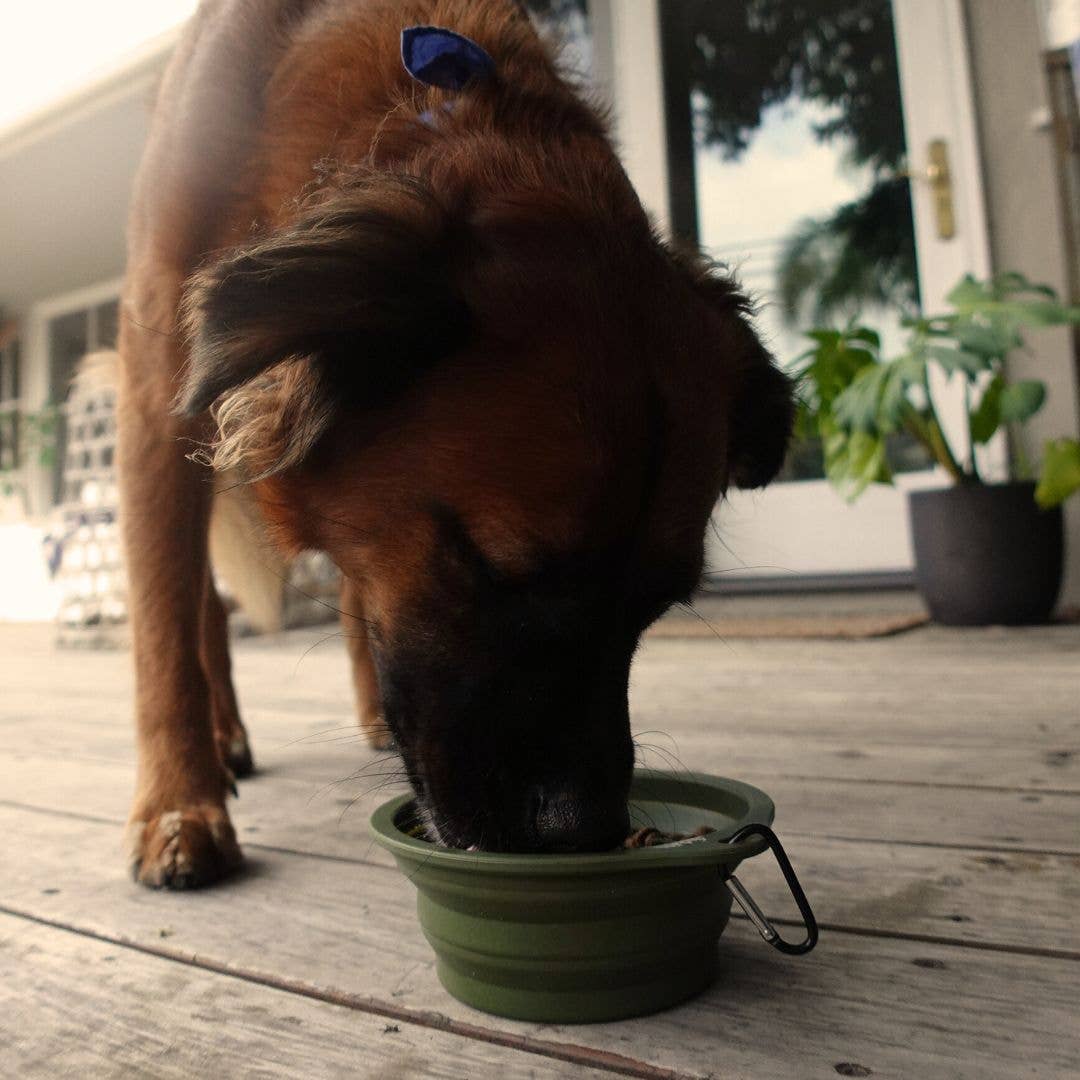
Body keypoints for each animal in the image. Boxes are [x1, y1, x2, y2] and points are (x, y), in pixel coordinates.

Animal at [118, 0, 794, 885]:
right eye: (491, 567)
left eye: (657, 604)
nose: (583, 829)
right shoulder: (156, 368)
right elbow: (161, 626)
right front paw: (177, 807)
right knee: (194, 597)